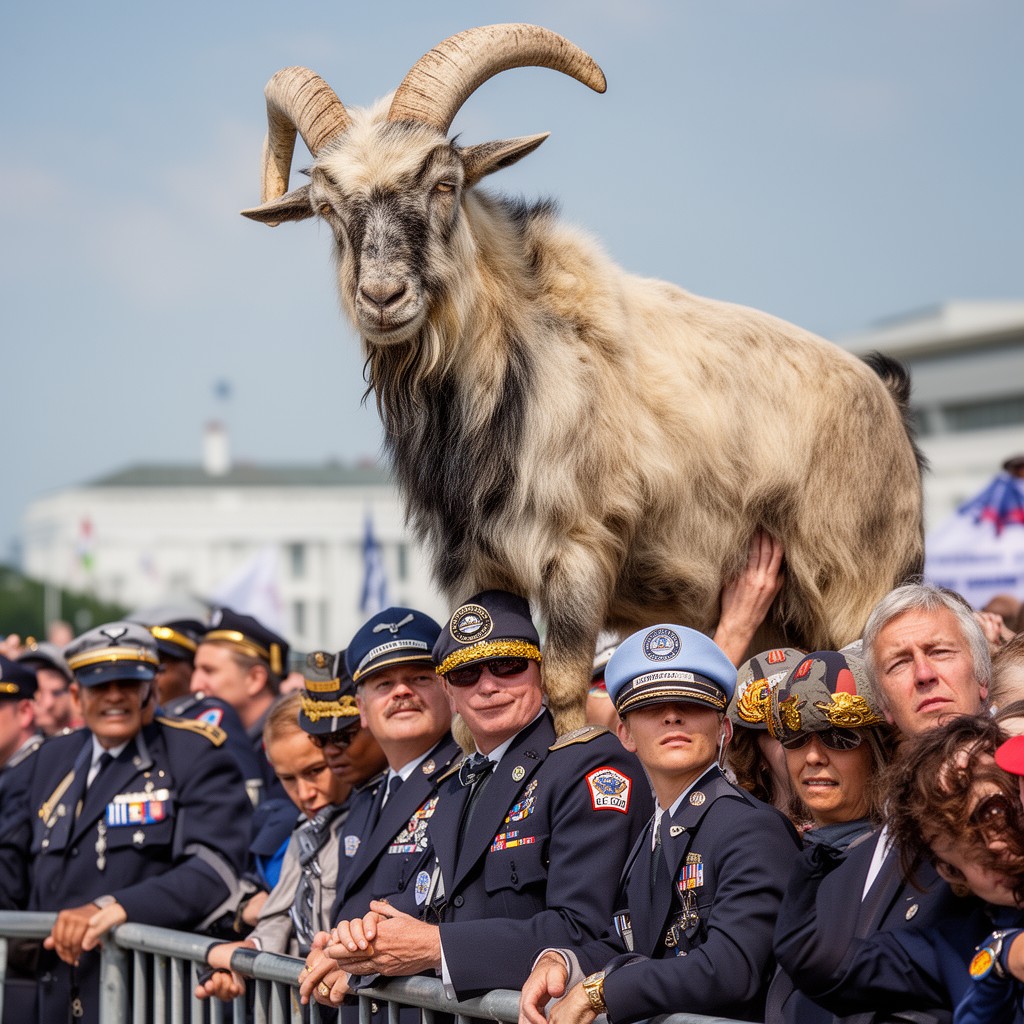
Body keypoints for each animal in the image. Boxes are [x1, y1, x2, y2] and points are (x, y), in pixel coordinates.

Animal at [242, 24, 924, 733]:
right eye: (326, 208)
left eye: (444, 182)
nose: (382, 297)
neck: (518, 351)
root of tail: (886, 396)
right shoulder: (474, 565)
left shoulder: (578, 548)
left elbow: (564, 685)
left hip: (859, 583)